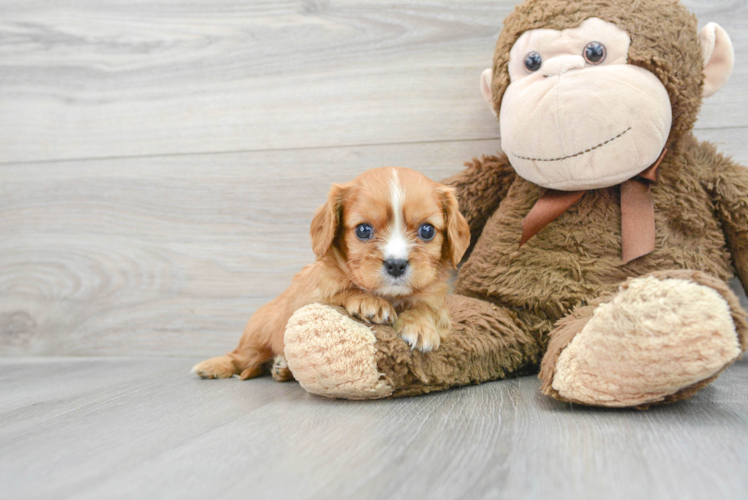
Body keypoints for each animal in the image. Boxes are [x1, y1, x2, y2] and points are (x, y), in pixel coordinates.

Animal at [196, 166, 470, 380]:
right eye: (363, 230)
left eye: (427, 230)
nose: (396, 264)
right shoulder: (309, 298)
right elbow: (340, 291)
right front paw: (368, 302)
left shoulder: (437, 303)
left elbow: (427, 308)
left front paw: (420, 326)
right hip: (256, 335)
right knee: (240, 356)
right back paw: (214, 366)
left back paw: (282, 368)